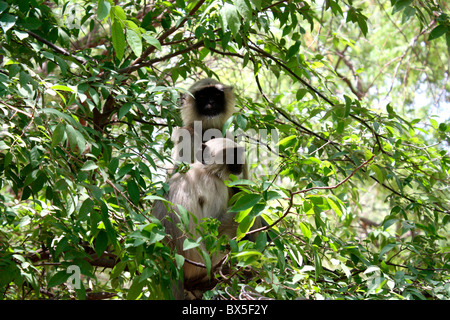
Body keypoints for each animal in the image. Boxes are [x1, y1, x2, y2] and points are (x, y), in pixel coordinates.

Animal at [154, 138, 246, 300]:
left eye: (238, 154)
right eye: (231, 155)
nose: (240, 163)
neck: (205, 169)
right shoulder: (215, 185)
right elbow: (211, 229)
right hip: (206, 264)